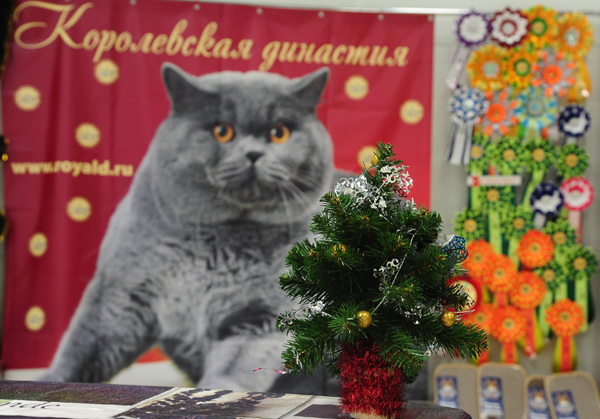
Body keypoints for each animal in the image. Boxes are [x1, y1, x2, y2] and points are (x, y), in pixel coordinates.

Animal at [42, 63, 341, 393]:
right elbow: (81, 349)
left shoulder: (265, 316)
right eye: (222, 131)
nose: (253, 153)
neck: (211, 247)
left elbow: (235, 365)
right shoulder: (119, 297)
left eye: (279, 133)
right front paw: (49, 383)